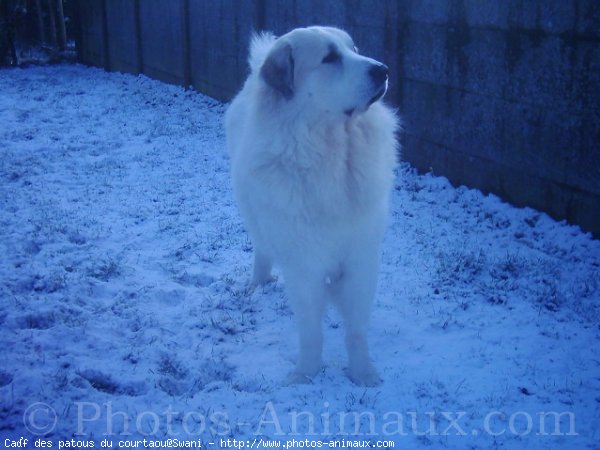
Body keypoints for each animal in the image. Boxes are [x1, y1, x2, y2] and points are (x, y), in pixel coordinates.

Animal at [225, 26, 398, 384]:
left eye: (354, 49)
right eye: (329, 58)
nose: (384, 70)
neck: (333, 153)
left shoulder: (361, 260)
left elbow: (356, 330)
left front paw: (362, 374)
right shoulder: (303, 266)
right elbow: (311, 332)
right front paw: (305, 374)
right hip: (253, 214)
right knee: (262, 249)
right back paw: (257, 284)